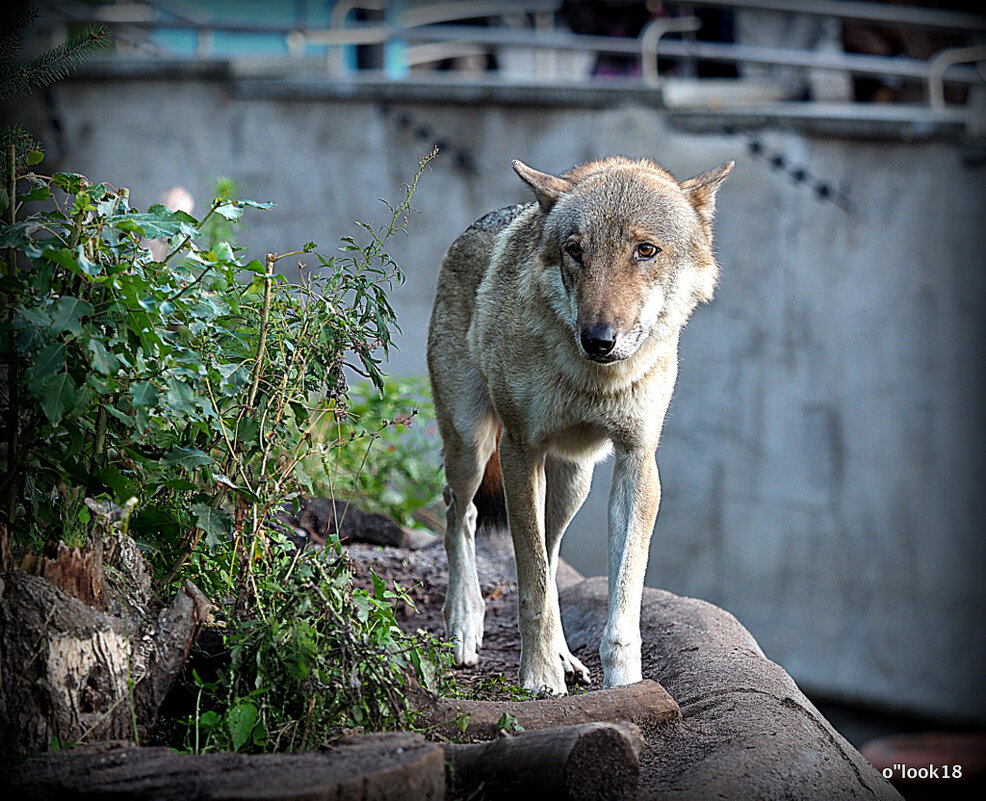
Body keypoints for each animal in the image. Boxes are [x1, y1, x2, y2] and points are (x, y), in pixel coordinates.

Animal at [422, 156, 732, 692]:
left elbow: (620, 602)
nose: (599, 340)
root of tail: (472, 229)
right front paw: (539, 678)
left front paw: (624, 685)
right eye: (575, 250)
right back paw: (464, 623)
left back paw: (565, 655)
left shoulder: (637, 462)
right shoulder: (520, 451)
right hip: (472, 447)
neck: (594, 381)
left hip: (573, 481)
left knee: (547, 553)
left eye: (645, 250)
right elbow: (532, 588)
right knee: (461, 514)